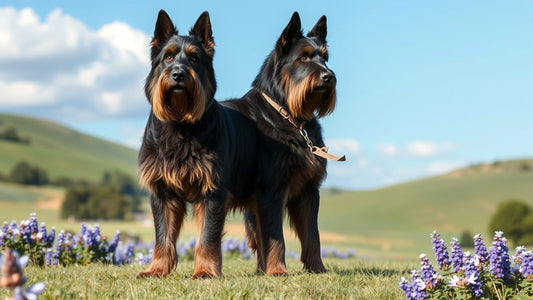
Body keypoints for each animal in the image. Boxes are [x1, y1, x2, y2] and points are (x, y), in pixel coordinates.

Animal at [136, 9, 255, 278]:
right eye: (168, 57)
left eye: (194, 58)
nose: (178, 74)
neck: (181, 124)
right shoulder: (162, 192)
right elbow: (162, 237)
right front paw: (157, 269)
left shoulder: (212, 192)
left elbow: (207, 237)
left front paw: (205, 271)